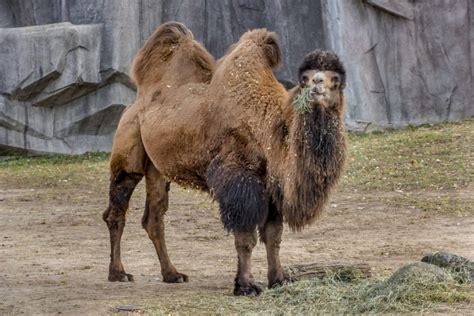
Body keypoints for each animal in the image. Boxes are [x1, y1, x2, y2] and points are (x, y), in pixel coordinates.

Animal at [103, 22, 346, 296]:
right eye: (305, 78)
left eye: (336, 80)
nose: (317, 85)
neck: (268, 126)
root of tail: (138, 99)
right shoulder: (239, 179)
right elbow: (246, 237)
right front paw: (246, 286)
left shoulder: (270, 185)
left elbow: (274, 236)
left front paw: (278, 279)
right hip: (127, 149)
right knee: (117, 210)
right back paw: (118, 273)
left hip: (158, 169)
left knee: (154, 218)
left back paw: (172, 274)